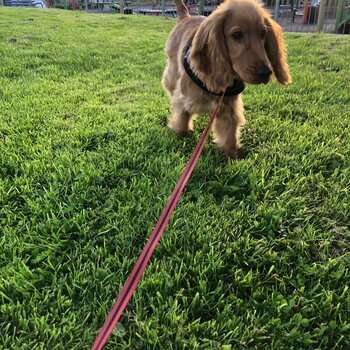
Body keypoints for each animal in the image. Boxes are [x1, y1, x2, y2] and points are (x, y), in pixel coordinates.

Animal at [163, 0, 292, 159]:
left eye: (263, 33)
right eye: (237, 35)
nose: (266, 72)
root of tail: (186, 16)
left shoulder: (229, 108)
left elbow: (230, 136)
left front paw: (232, 157)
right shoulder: (183, 99)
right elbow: (181, 124)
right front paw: (181, 133)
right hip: (172, 70)